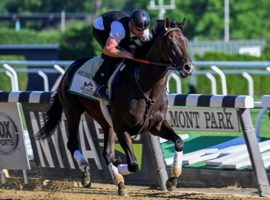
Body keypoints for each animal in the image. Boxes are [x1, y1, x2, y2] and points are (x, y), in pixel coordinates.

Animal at [37, 18, 194, 196]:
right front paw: (119, 168)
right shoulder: (122, 128)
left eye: (186, 41)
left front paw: (172, 179)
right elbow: (133, 164)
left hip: (105, 122)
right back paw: (87, 174)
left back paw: (119, 182)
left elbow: (179, 142)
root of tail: (70, 68)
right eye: (171, 42)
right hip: (73, 112)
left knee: (106, 152)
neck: (146, 86)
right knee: (73, 144)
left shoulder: (156, 125)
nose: (188, 68)